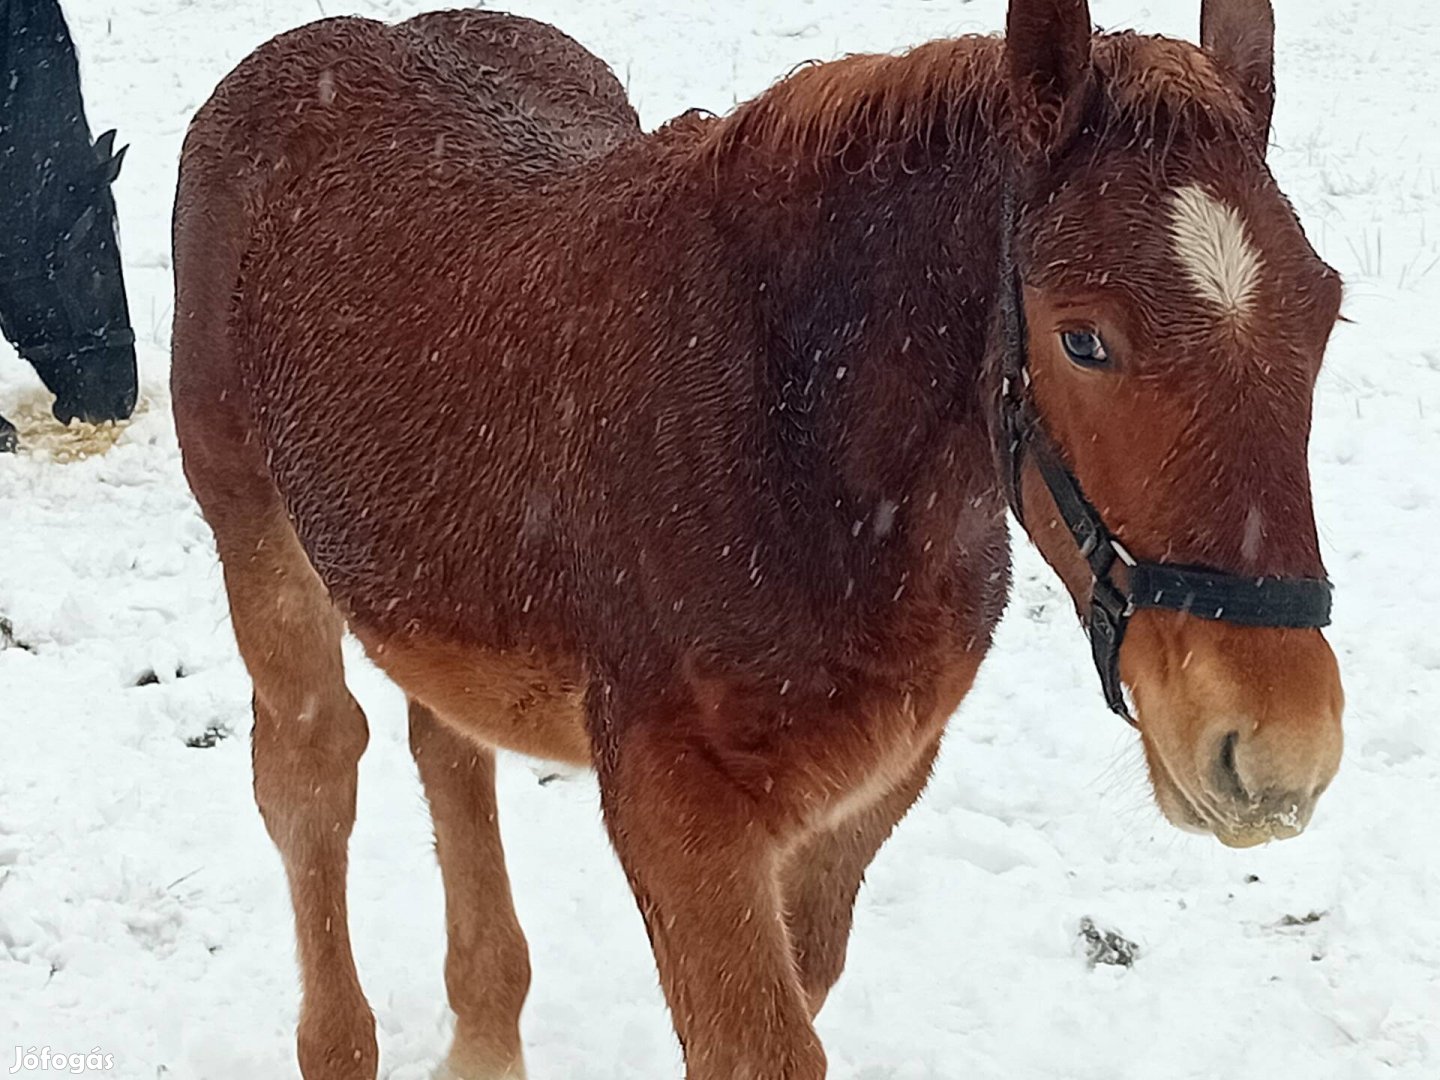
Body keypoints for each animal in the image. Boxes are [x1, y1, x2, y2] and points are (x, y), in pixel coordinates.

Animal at [174, 2, 1342, 1080]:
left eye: (1326, 309)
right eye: (1083, 338)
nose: (1279, 751)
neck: (799, 444)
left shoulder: (867, 793)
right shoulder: (675, 811)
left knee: (448, 748)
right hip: (256, 536)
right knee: (312, 770)